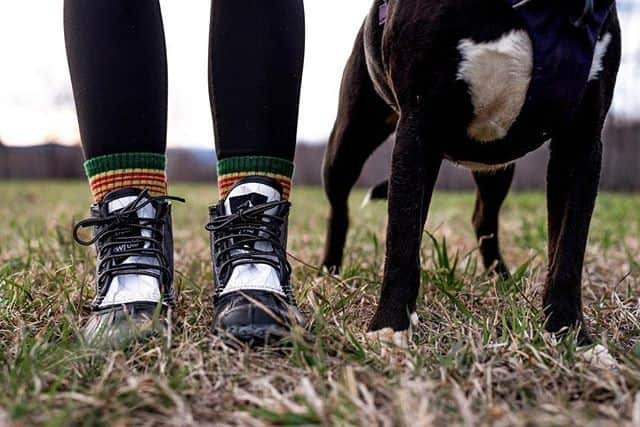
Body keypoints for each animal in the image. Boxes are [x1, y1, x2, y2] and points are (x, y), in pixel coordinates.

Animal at [322, 0, 616, 344]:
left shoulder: (581, 142)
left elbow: (569, 247)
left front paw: (569, 333)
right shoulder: (418, 125)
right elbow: (402, 237)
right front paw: (390, 326)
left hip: (497, 165)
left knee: (483, 218)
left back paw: (501, 279)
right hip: (349, 143)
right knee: (339, 209)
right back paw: (329, 271)